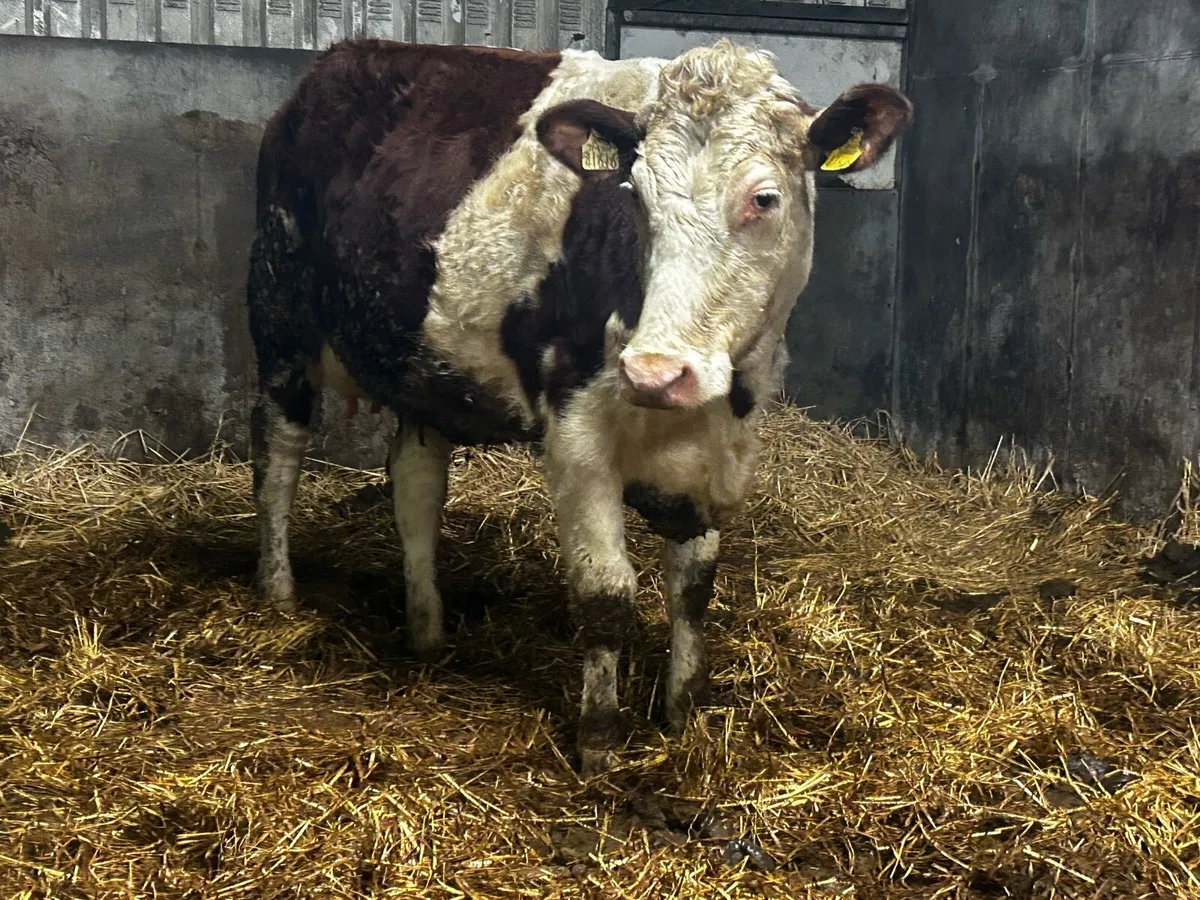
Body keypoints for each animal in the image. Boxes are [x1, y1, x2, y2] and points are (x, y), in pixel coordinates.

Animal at [246, 37, 912, 774]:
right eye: (636, 200)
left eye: (763, 197)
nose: (654, 372)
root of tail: (339, 58)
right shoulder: (577, 431)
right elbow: (605, 593)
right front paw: (599, 745)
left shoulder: (715, 448)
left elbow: (694, 585)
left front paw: (682, 711)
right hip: (279, 311)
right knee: (277, 454)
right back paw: (277, 593)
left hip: (421, 365)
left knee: (416, 483)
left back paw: (427, 631)